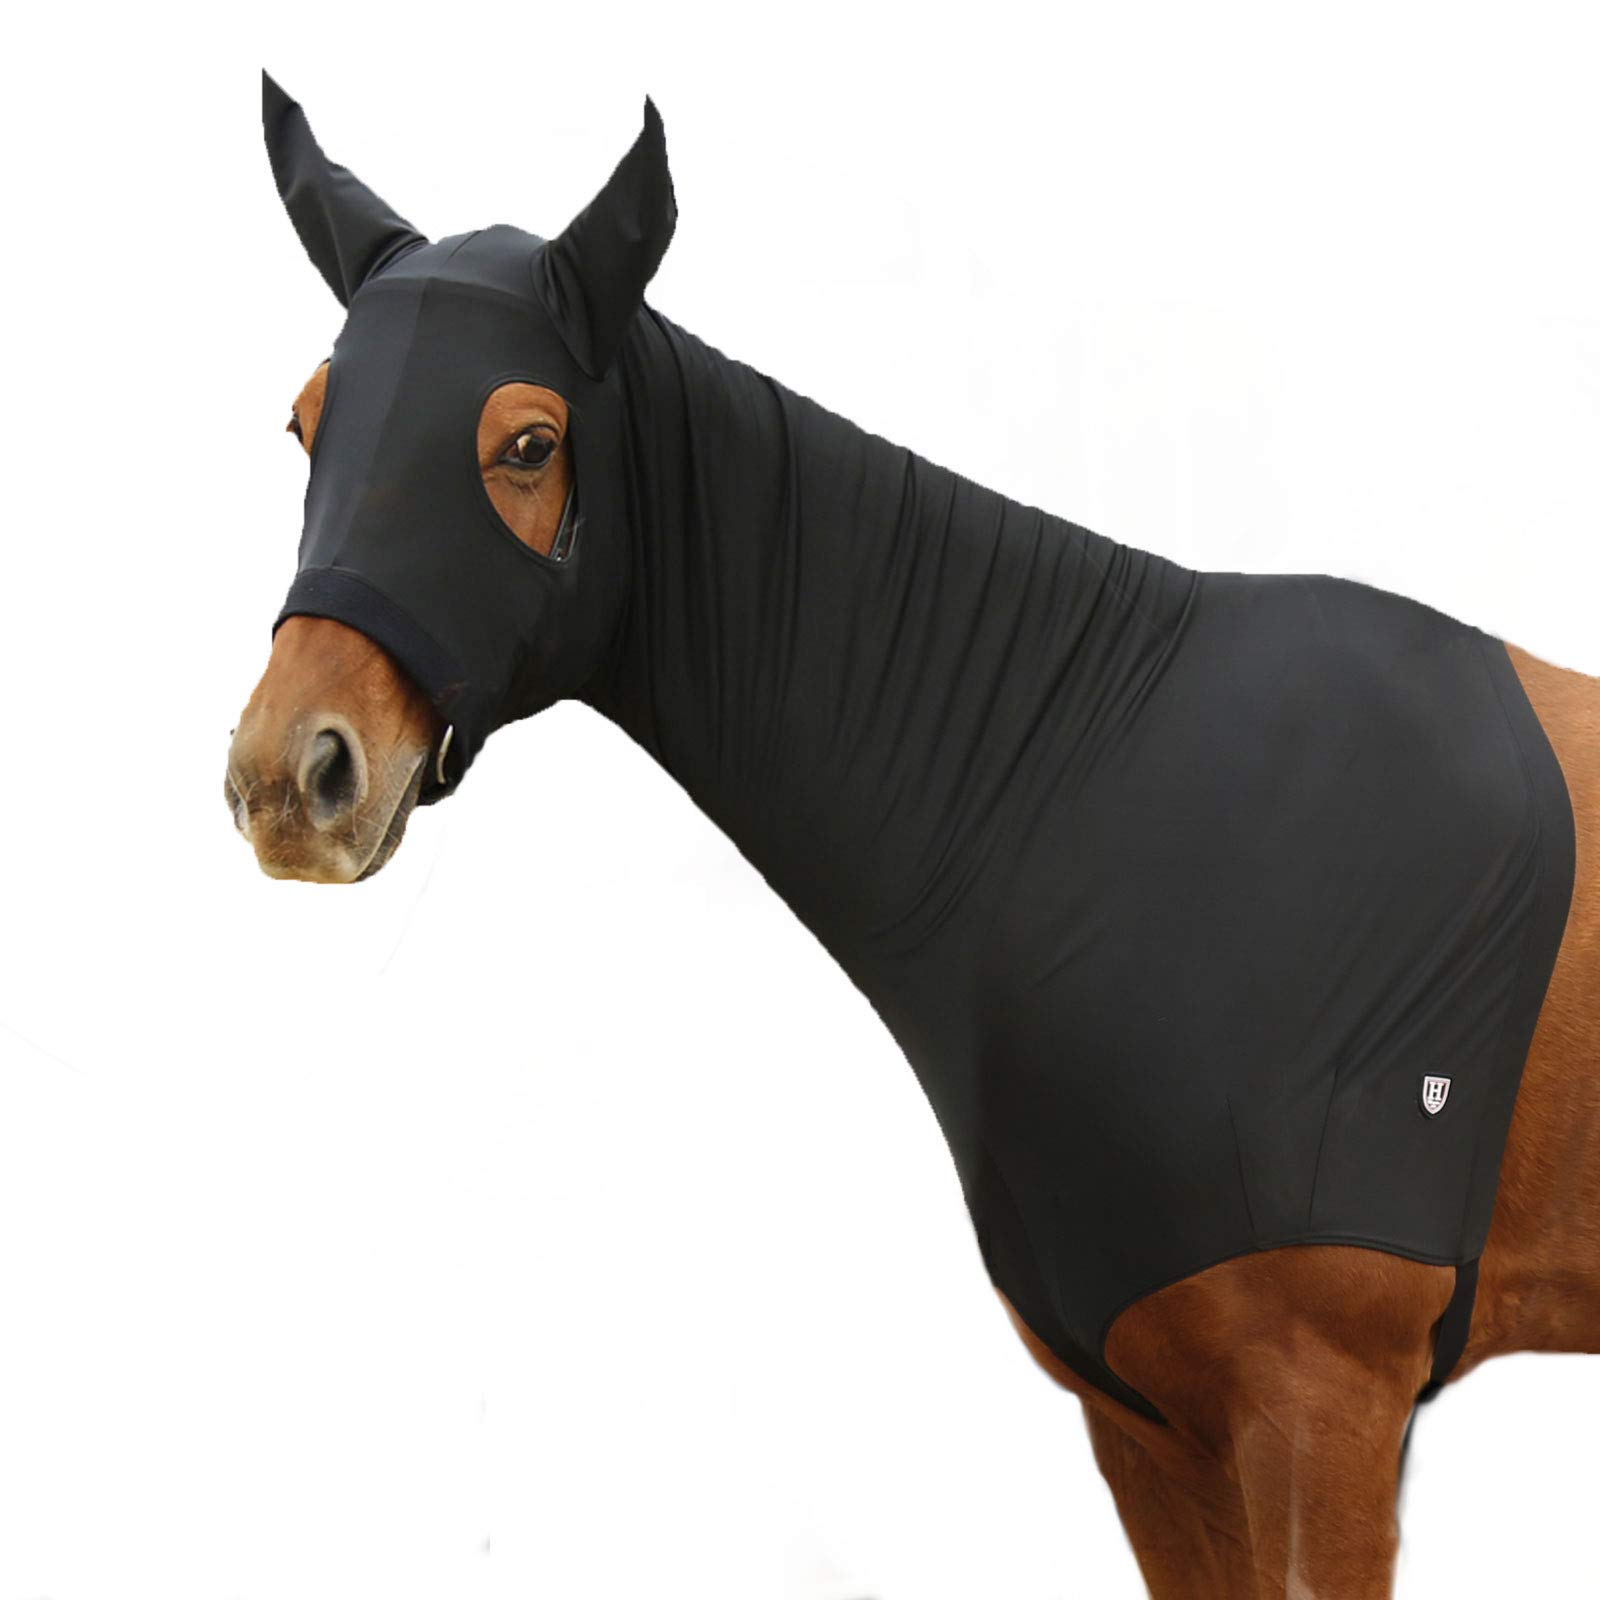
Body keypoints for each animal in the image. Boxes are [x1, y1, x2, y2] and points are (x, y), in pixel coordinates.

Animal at [229, 76, 1599, 1597]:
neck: (1094, 792)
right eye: (304, 424)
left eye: (527, 444)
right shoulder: (1153, 1423)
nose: (289, 777)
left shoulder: (1326, 1402)